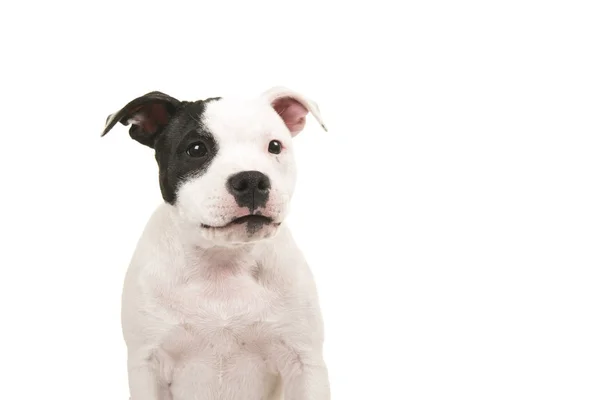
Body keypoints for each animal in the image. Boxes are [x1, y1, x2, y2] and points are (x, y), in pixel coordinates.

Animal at [101, 86, 330, 400]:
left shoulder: (303, 362)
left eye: (274, 146)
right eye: (196, 149)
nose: (252, 180)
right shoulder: (148, 365)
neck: (222, 262)